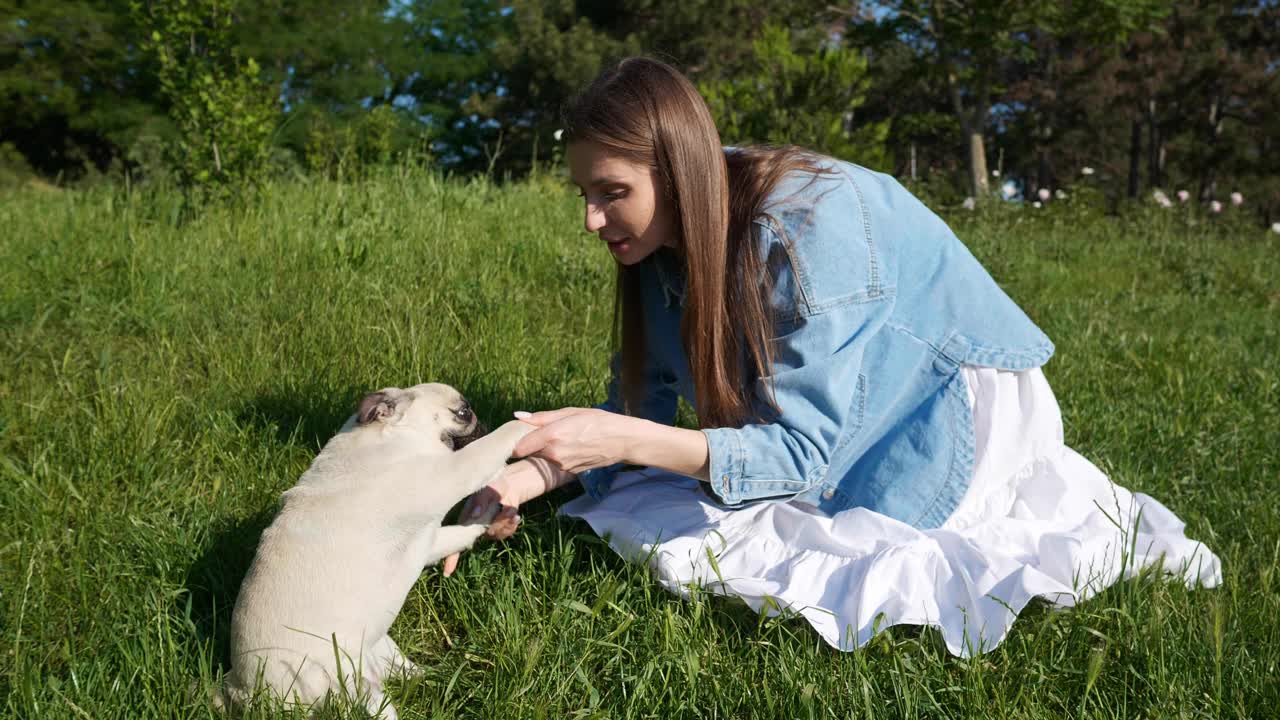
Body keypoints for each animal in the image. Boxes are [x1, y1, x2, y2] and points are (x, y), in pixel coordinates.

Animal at [215, 381, 529, 712]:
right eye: (463, 412)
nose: (483, 423)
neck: (392, 440)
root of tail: (241, 689)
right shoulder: (453, 473)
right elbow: (492, 446)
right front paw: (527, 424)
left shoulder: (429, 542)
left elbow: (458, 533)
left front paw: (487, 518)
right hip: (350, 684)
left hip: (383, 653)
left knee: (410, 673)